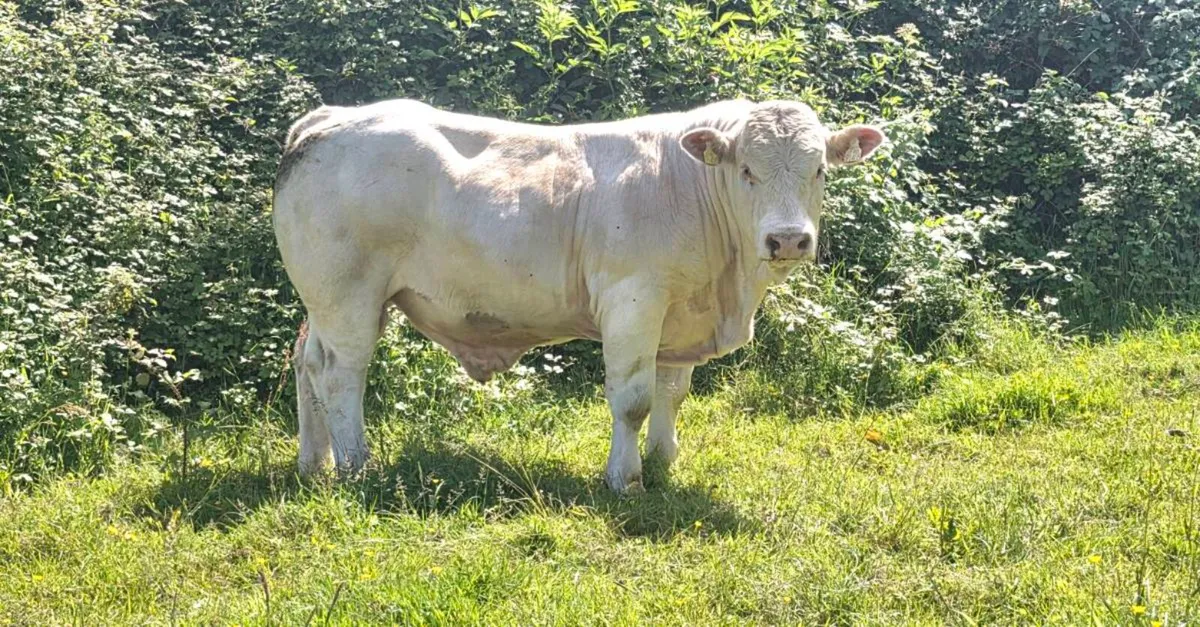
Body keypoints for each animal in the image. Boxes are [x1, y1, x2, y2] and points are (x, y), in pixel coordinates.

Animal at [273, 98, 885, 493]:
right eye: (747, 170)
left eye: (820, 170)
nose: (788, 239)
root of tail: (331, 118)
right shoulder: (634, 300)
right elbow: (633, 399)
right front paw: (626, 478)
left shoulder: (678, 313)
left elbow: (672, 392)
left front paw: (663, 460)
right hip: (348, 295)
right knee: (340, 374)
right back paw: (356, 466)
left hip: (332, 302)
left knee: (307, 362)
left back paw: (314, 463)